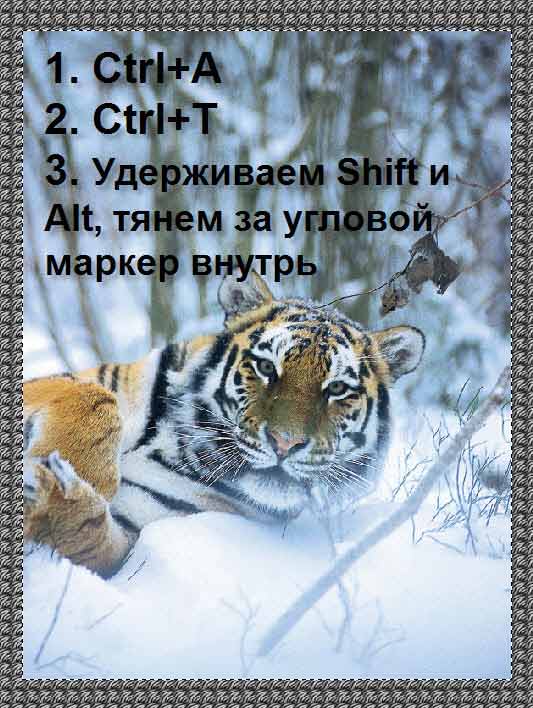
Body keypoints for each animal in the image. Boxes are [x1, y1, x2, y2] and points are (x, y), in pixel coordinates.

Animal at [23, 271, 425, 578]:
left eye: (338, 389)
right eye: (266, 367)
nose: (284, 443)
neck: (177, 445)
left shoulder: (132, 534)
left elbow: (88, 535)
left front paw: (54, 485)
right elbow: (96, 397)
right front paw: (84, 469)